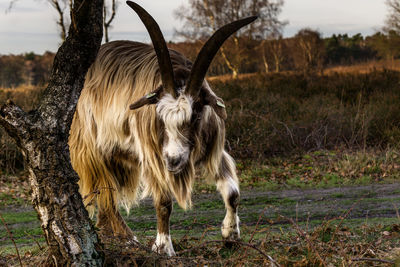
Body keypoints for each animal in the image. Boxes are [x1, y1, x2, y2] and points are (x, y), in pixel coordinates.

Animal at [69, 1, 256, 256]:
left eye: (197, 113)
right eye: (158, 115)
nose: (174, 161)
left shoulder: (213, 149)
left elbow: (233, 193)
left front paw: (231, 234)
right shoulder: (153, 156)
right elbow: (164, 202)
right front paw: (163, 246)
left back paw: (114, 233)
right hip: (91, 146)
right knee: (105, 189)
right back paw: (127, 236)